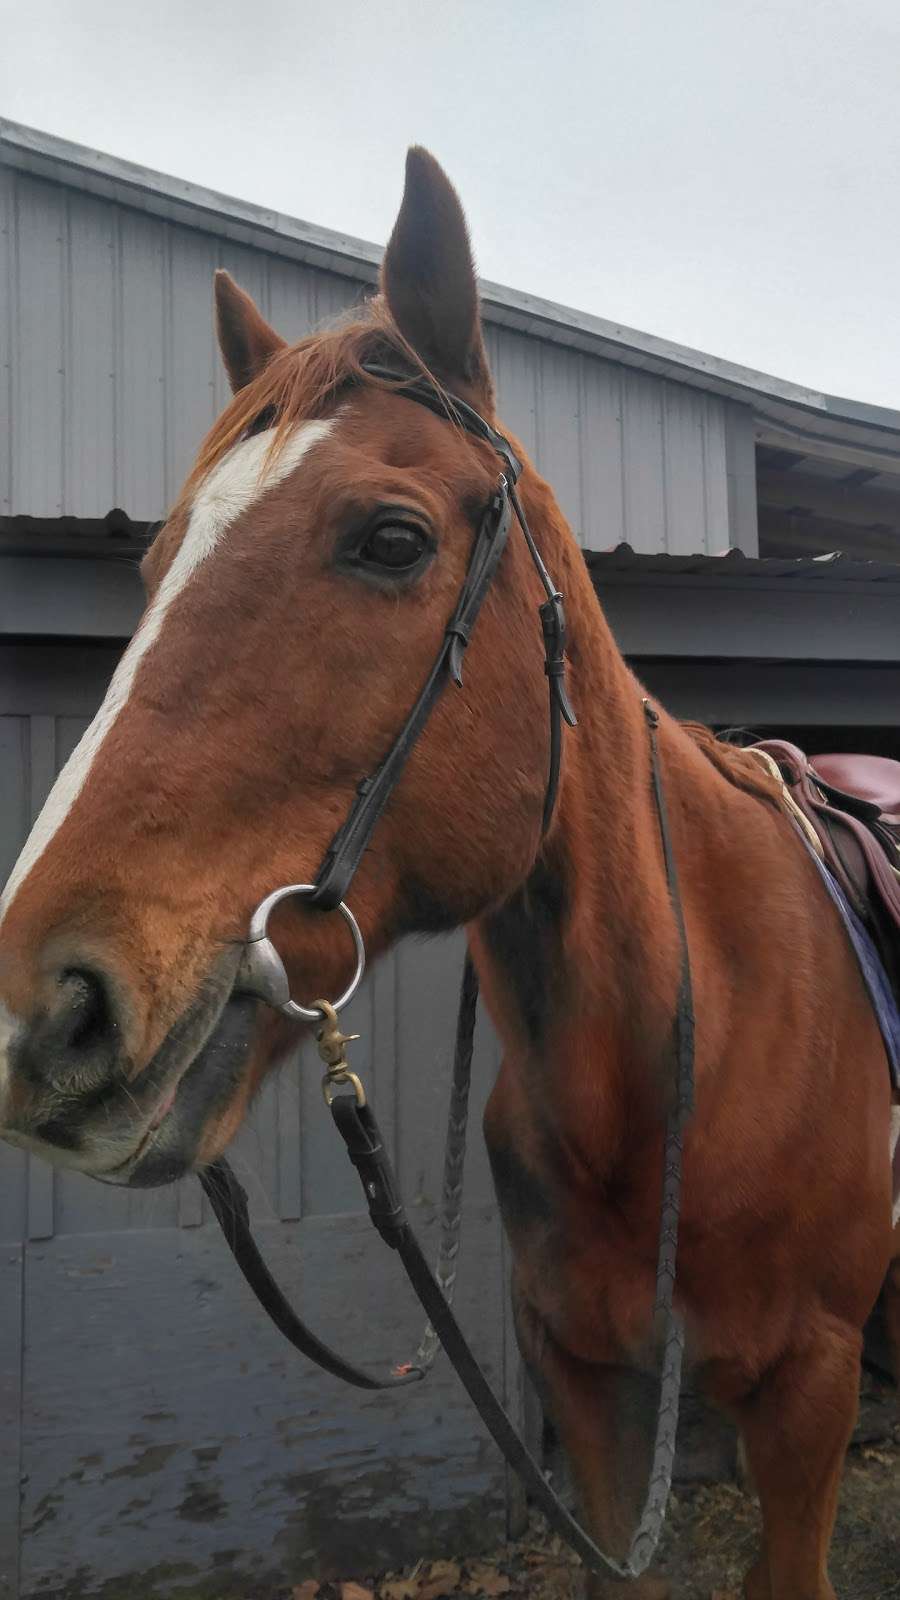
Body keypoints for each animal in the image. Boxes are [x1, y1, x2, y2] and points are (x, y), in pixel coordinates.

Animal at [0, 147, 898, 1600]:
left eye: (391, 540)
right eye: (156, 561)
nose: (43, 1012)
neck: (680, 1060)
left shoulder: (811, 1395)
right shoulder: (581, 1385)